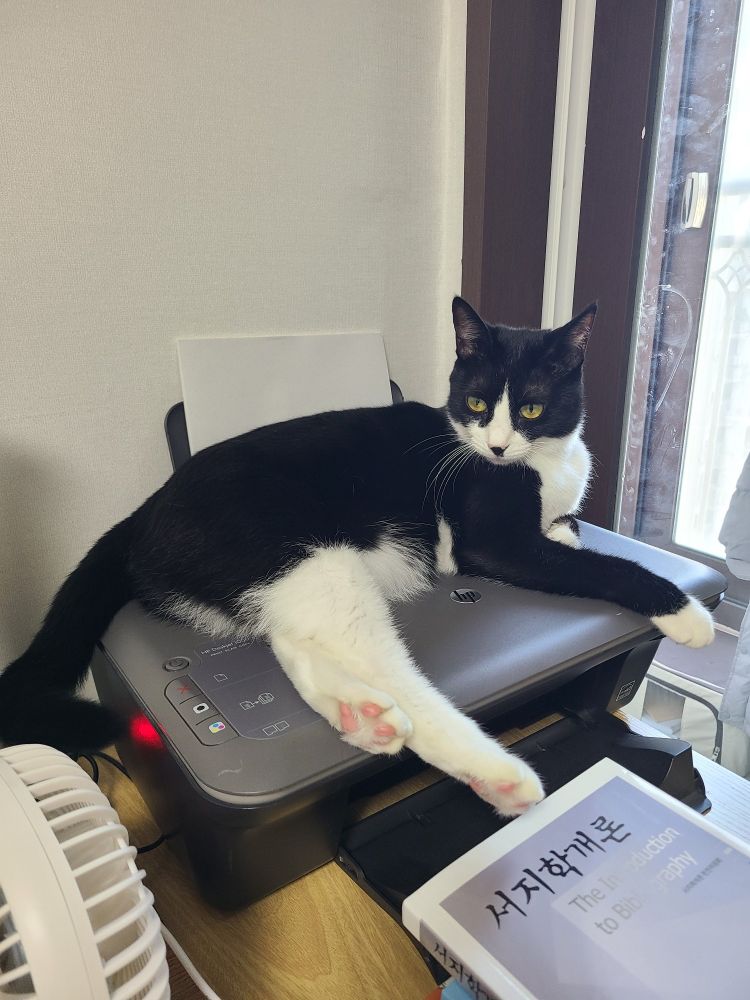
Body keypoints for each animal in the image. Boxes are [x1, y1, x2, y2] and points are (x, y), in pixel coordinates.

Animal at [0, 297, 714, 816]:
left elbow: (569, 536)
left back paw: (361, 718)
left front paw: (574, 533)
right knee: (391, 672)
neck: (545, 461)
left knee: (291, 639)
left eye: (533, 406)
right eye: (477, 403)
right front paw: (685, 613)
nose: (498, 447)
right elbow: (599, 565)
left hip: (283, 575)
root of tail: (145, 510)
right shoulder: (491, 538)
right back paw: (497, 776)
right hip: (297, 549)